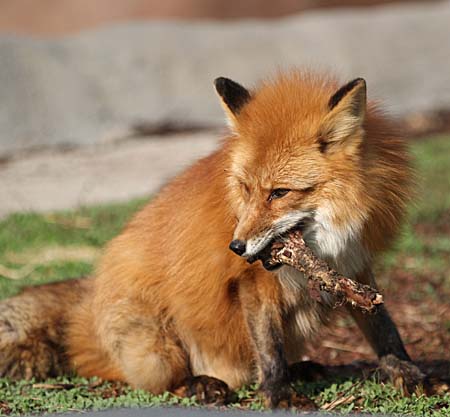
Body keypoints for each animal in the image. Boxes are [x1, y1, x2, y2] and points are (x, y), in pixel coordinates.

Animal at [0, 70, 422, 404]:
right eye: (245, 189)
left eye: (279, 193)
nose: (236, 247)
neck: (328, 242)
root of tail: (88, 309)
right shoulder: (253, 282)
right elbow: (268, 348)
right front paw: (279, 395)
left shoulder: (355, 265)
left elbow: (383, 327)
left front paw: (408, 373)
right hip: (157, 343)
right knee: (156, 383)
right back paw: (201, 384)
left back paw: (306, 369)